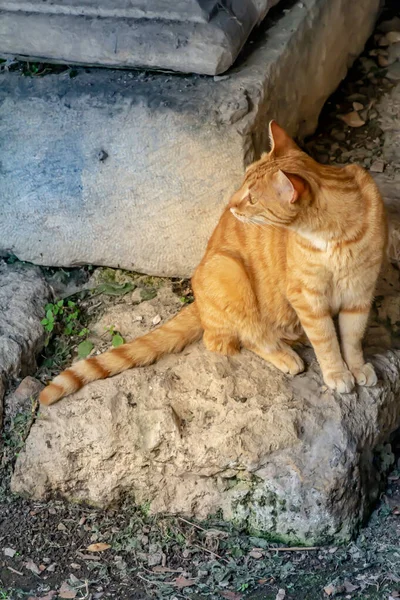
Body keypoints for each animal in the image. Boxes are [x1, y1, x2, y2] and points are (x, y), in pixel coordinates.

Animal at [39, 119, 386, 406]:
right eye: (242, 184)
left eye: (252, 198)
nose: (231, 205)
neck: (336, 236)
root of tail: (198, 301)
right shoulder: (308, 298)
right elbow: (326, 341)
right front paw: (337, 373)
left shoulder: (359, 294)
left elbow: (352, 338)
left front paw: (356, 368)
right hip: (230, 271)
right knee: (237, 338)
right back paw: (285, 354)